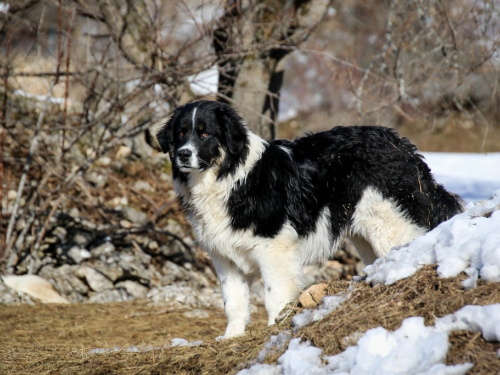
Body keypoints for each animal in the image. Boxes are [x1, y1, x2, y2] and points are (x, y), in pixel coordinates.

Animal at [157, 99, 464, 338]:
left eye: (205, 134)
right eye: (181, 133)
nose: (184, 154)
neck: (231, 178)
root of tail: (402, 145)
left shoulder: (273, 249)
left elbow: (274, 297)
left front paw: (274, 329)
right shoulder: (224, 257)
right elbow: (233, 303)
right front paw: (231, 338)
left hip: (390, 223)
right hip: (366, 235)